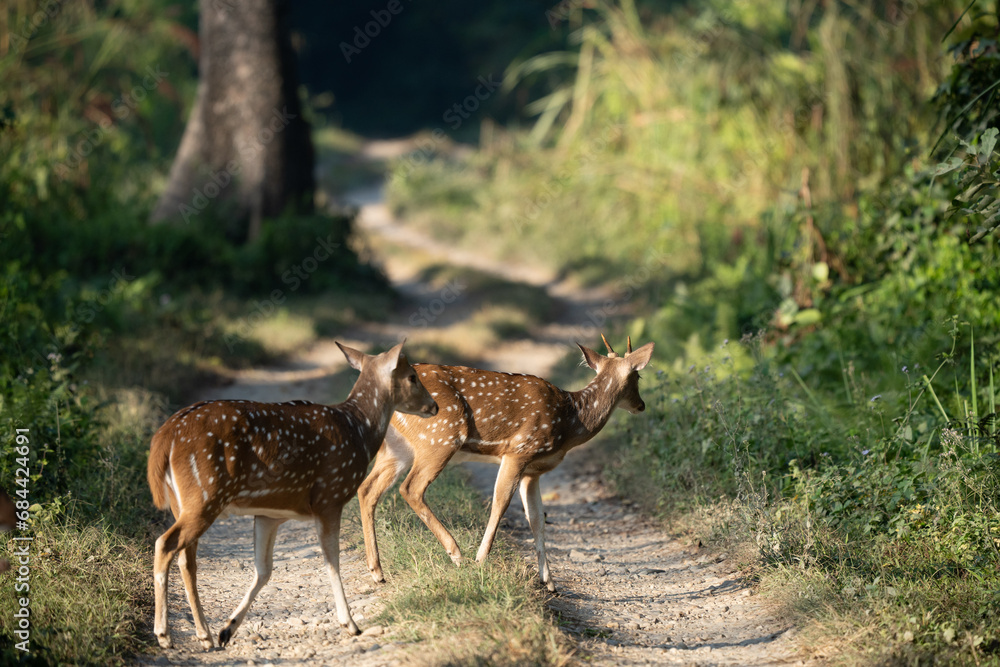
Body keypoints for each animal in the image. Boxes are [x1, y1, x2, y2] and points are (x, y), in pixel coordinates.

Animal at [147, 341, 437, 651]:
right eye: (412, 376)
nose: (435, 405)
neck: (357, 430)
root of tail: (164, 437)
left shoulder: (270, 513)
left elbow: (264, 570)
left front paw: (228, 629)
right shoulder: (329, 497)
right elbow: (331, 562)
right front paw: (350, 624)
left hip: (186, 502)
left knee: (186, 559)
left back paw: (205, 635)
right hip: (205, 494)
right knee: (165, 544)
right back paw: (164, 634)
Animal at [358, 335, 653, 592]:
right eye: (638, 376)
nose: (641, 405)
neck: (570, 420)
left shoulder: (533, 472)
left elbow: (537, 519)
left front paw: (549, 582)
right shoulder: (519, 450)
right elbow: (499, 504)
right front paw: (480, 561)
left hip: (397, 448)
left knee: (367, 489)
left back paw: (377, 572)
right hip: (440, 437)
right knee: (411, 488)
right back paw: (456, 554)